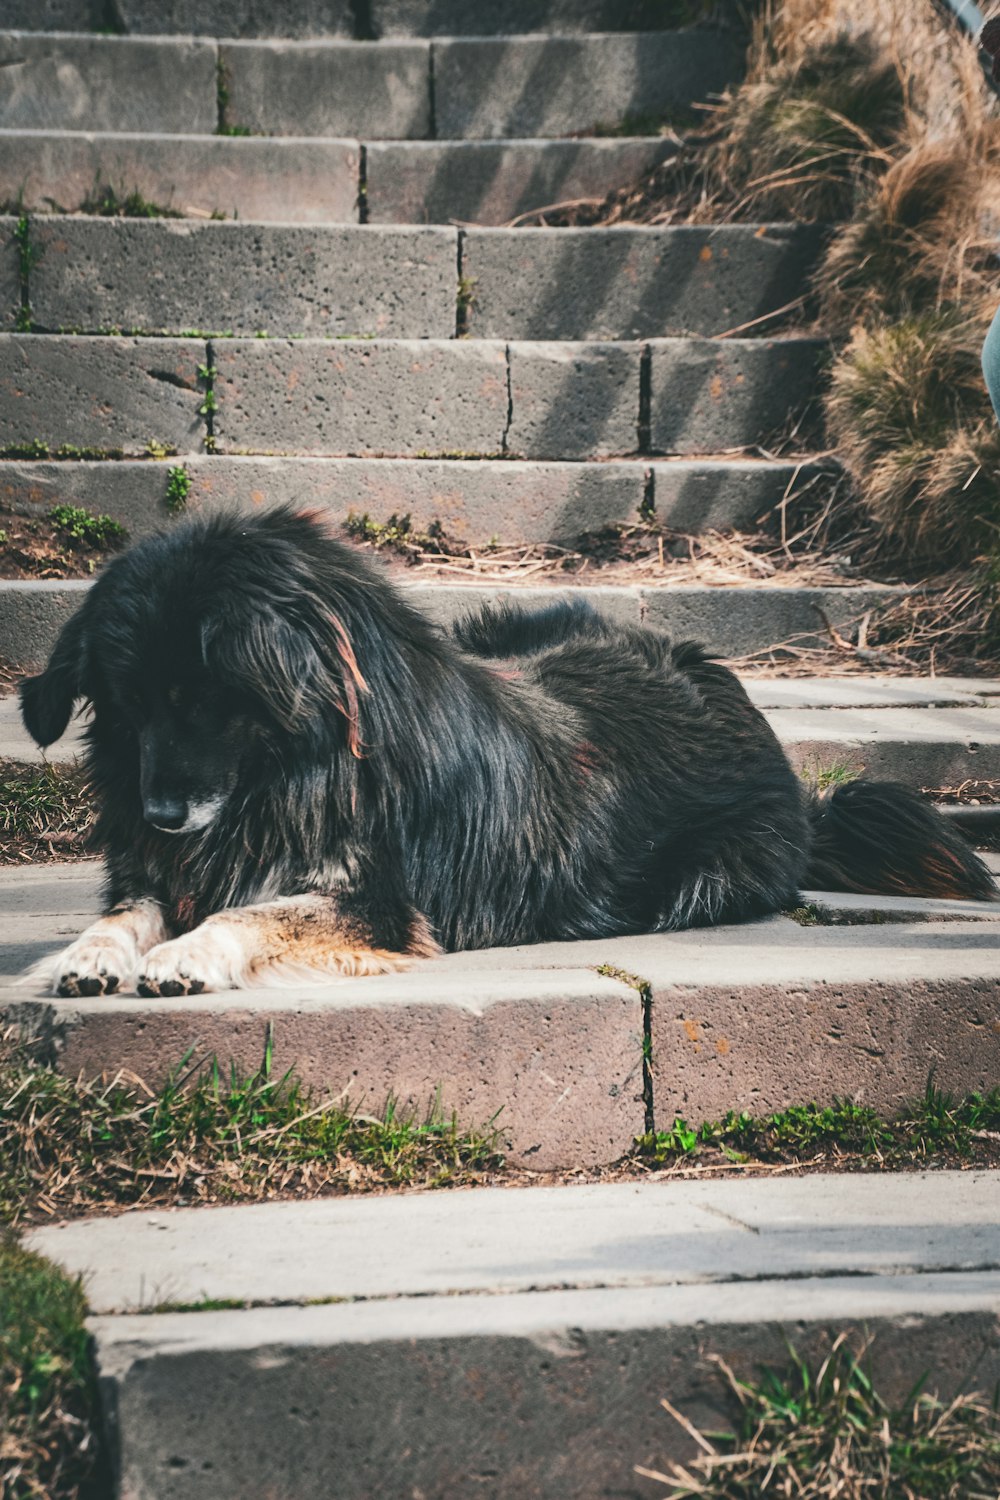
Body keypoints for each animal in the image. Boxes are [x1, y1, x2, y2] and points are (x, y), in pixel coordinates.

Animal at [19, 507, 995, 996]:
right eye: (129, 705)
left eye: (204, 701)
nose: (160, 814)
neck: (305, 768)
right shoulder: (164, 867)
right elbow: (127, 909)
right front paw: (88, 956)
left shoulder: (382, 903)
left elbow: (257, 913)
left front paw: (184, 956)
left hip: (703, 877)